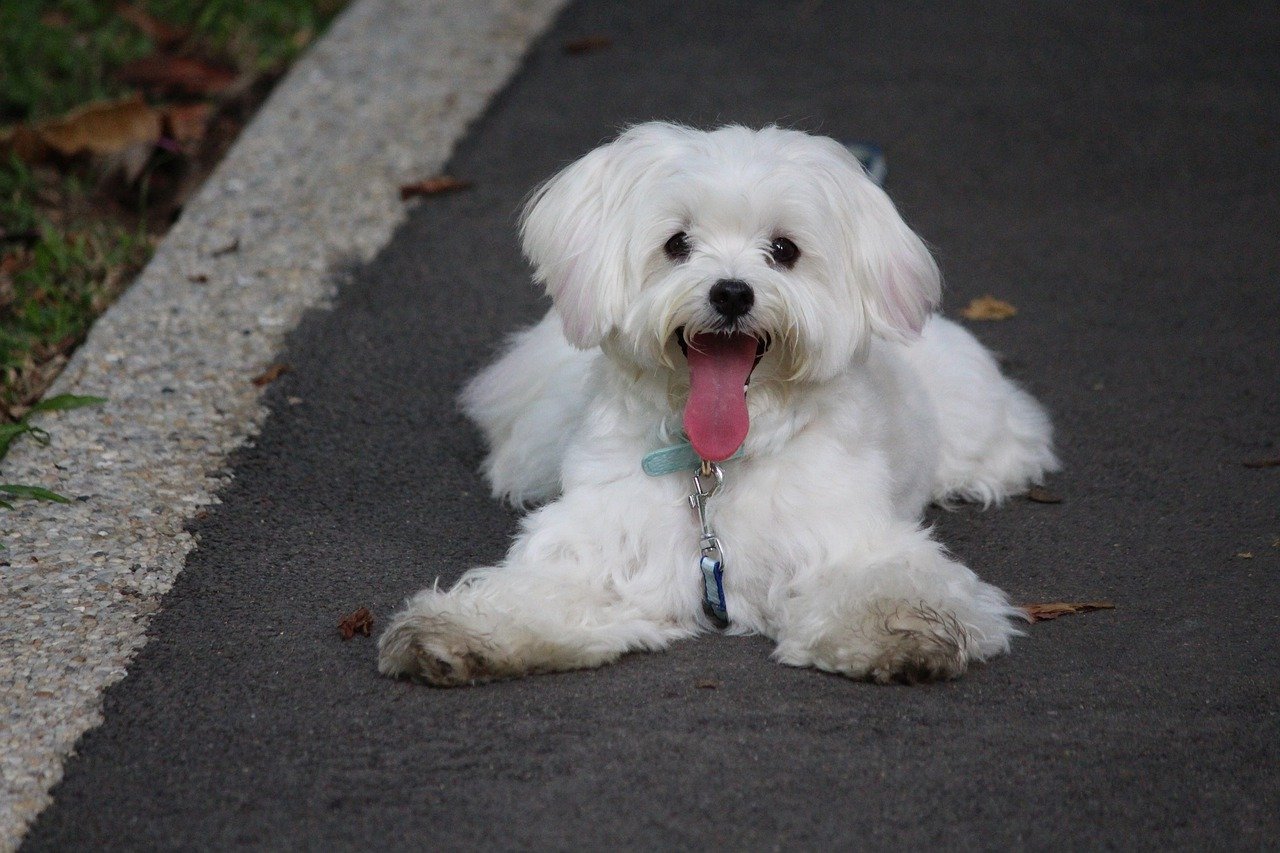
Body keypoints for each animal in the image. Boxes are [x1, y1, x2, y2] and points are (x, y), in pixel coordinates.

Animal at [378, 122, 1059, 686]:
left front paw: (900, 630)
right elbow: (541, 592)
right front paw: (464, 631)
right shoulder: (606, 544)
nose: (731, 292)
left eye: (784, 250)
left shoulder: (841, 536)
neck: (717, 463)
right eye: (677, 243)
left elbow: (881, 584)